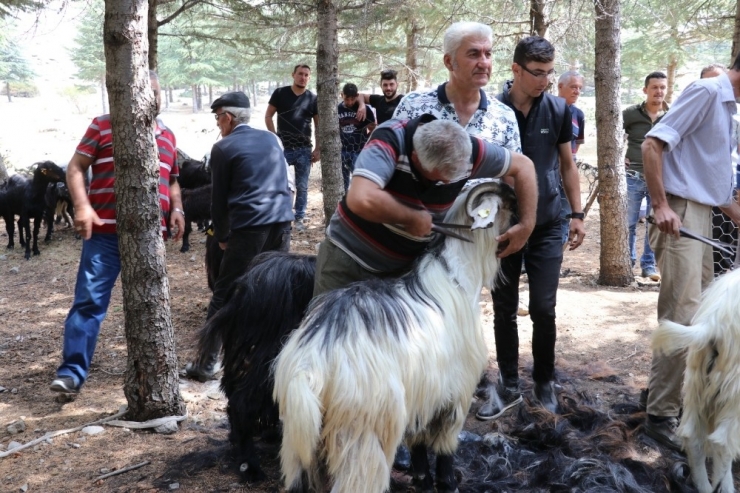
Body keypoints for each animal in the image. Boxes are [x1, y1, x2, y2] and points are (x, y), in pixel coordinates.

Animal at [272, 181, 516, 492]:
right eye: (509, 204)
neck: (458, 277)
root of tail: (310, 362)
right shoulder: (457, 391)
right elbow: (445, 446)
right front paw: (448, 483)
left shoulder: (424, 394)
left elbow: (419, 445)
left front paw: (423, 481)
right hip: (363, 431)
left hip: (300, 442)